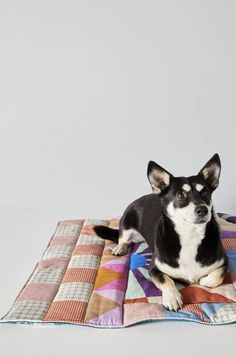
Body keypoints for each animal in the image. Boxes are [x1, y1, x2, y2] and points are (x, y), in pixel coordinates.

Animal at [93, 154, 228, 310]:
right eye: (180, 195)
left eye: (205, 192)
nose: (203, 209)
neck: (190, 235)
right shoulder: (154, 268)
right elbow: (166, 280)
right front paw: (172, 297)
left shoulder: (224, 262)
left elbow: (217, 277)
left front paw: (204, 280)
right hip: (126, 222)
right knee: (123, 238)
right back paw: (120, 248)